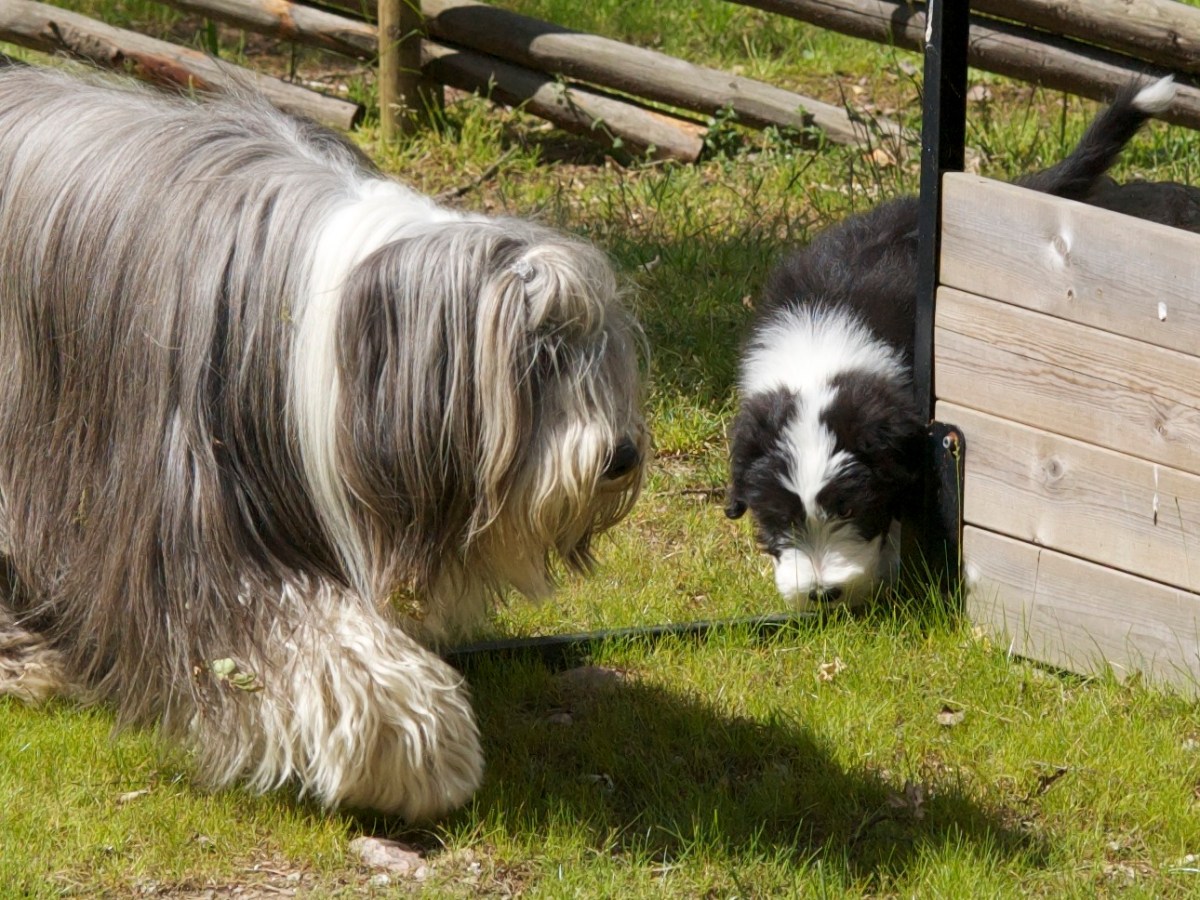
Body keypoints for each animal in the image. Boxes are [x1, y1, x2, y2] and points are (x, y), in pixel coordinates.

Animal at [0, 66, 647, 821]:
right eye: (536, 356)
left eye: (599, 348)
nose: (621, 457)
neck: (335, 336)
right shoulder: (189, 512)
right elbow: (299, 637)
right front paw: (415, 746)